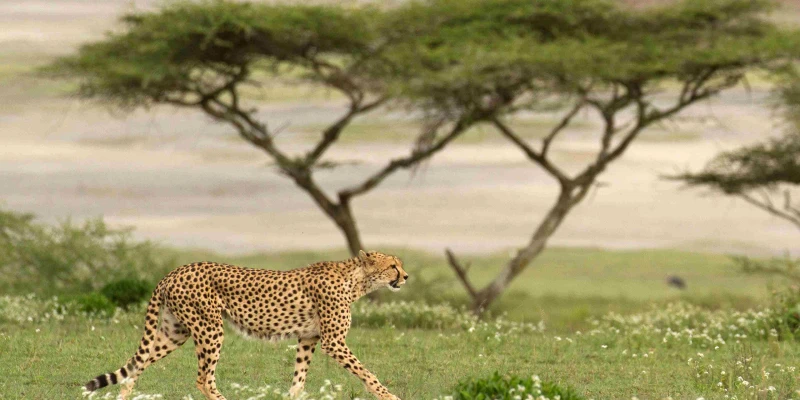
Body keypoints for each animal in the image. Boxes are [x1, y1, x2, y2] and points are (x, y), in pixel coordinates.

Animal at [82, 250, 409, 400]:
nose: (405, 277)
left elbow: (298, 379)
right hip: (210, 328)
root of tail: (176, 270)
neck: (356, 280)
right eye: (393, 265)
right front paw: (388, 395)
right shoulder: (333, 341)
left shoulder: (308, 338)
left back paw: (125, 395)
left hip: (175, 331)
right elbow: (365, 372)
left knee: (137, 364)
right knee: (203, 379)